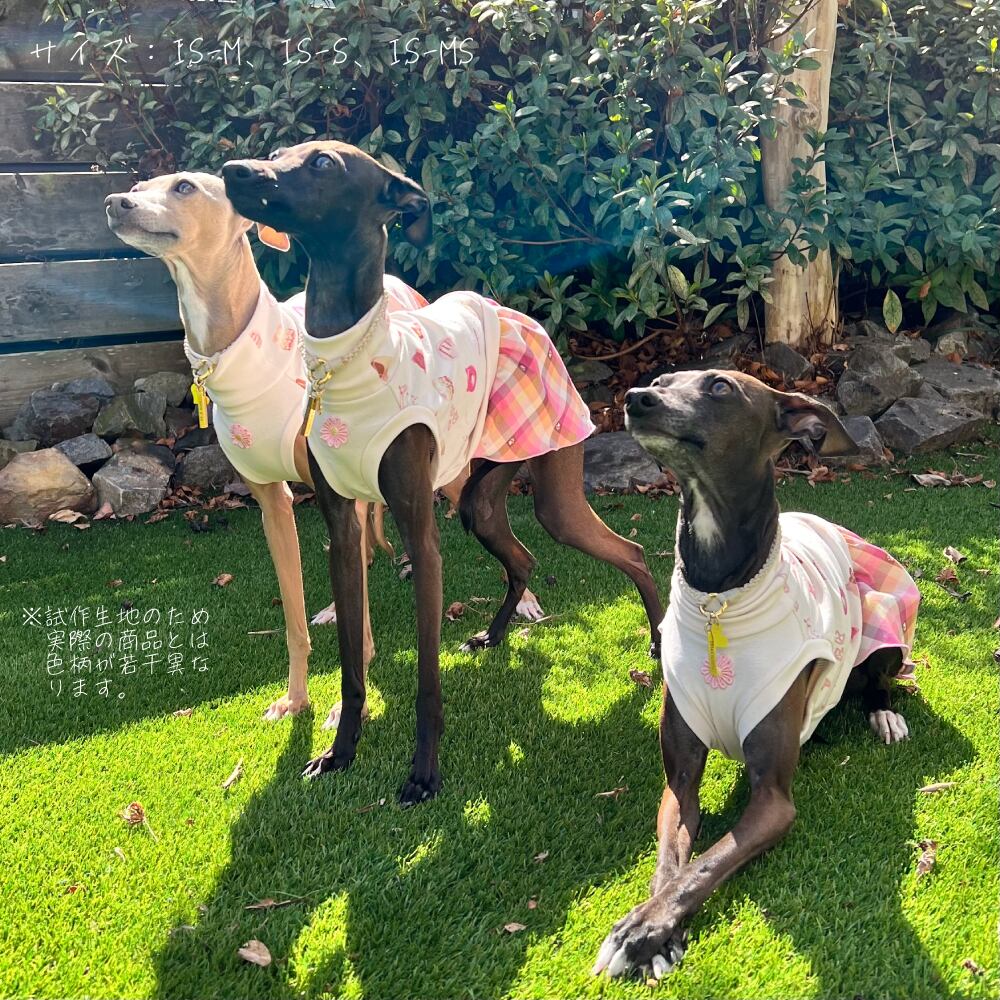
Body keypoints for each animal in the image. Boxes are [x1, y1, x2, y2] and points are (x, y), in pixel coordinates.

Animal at [221, 141, 665, 804]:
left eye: (323, 163)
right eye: (279, 152)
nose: (233, 172)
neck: (349, 361)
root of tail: (521, 315)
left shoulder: (420, 534)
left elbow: (427, 679)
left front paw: (423, 773)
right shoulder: (342, 532)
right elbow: (351, 667)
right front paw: (340, 753)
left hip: (553, 490)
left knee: (630, 551)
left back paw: (661, 643)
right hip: (480, 493)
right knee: (522, 557)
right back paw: (493, 635)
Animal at [592, 369, 920, 980]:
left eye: (720, 386)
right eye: (663, 379)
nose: (635, 399)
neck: (720, 598)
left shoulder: (773, 799)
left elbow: (708, 862)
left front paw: (642, 932)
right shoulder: (679, 782)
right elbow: (674, 862)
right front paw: (657, 930)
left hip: (885, 615)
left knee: (879, 681)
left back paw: (884, 715)